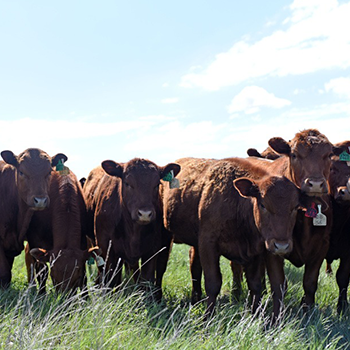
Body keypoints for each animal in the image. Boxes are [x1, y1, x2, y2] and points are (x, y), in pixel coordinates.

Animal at [0, 148, 99, 292]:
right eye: (54, 278)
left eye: (77, 277)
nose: (64, 297)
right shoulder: (36, 239)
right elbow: (41, 270)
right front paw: (41, 295)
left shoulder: (82, 241)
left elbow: (85, 275)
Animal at [82, 159, 180, 298]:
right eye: (128, 183)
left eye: (157, 184)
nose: (145, 213)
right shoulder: (106, 247)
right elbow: (109, 279)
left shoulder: (152, 250)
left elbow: (147, 280)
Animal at [161, 156, 300, 318]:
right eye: (263, 205)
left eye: (296, 207)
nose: (281, 246)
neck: (237, 204)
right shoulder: (208, 244)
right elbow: (213, 283)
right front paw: (207, 318)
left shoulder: (257, 251)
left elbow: (256, 285)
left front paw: (255, 316)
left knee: (194, 264)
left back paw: (195, 299)